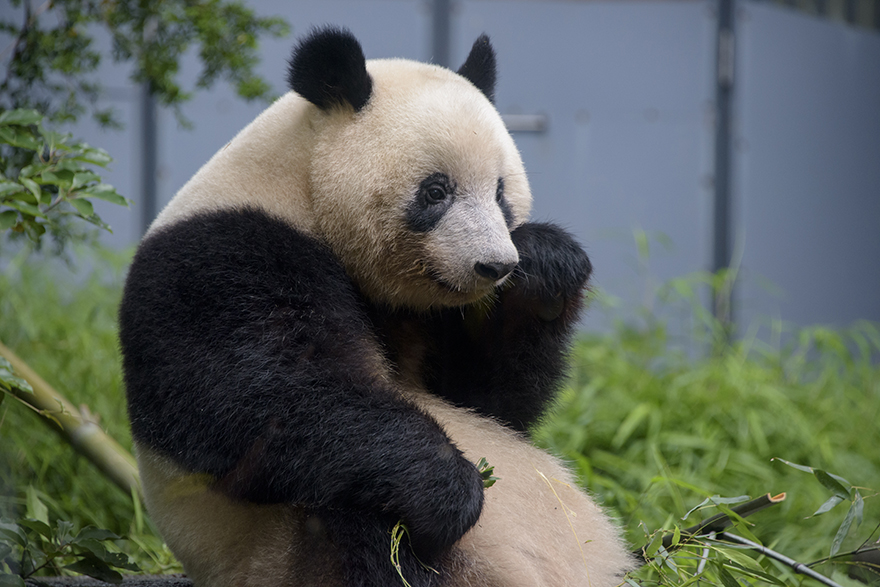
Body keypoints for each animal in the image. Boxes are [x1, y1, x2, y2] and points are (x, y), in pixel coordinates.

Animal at [120, 26, 636, 587]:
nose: (495, 266)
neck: (300, 185)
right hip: (285, 554)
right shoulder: (223, 256)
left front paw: (547, 266)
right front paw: (450, 489)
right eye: (436, 191)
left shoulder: (431, 319)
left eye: (501, 192)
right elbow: (261, 403)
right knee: (360, 519)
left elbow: (488, 402)